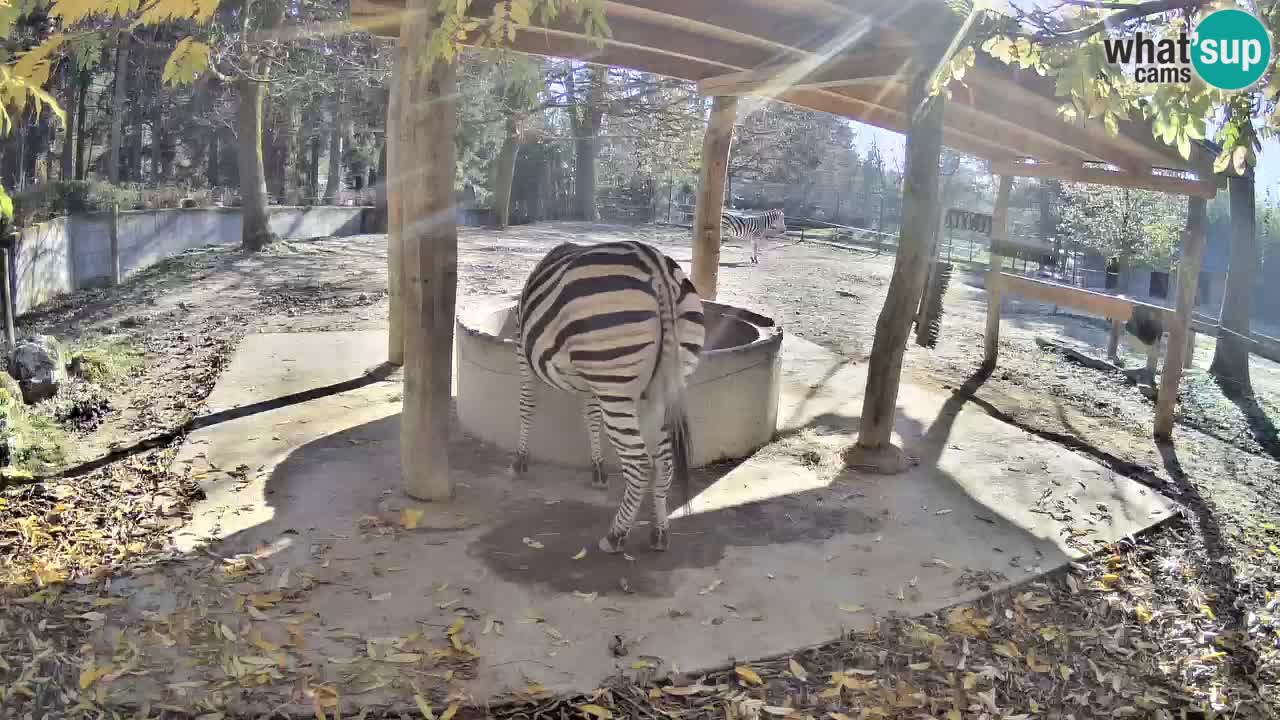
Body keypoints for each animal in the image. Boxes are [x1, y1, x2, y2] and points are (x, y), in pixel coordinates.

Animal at [510, 240, 705, 554]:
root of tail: (655, 265)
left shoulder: (521, 350)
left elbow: (527, 404)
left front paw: (520, 460)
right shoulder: (592, 383)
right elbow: (590, 416)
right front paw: (598, 468)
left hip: (615, 386)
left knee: (639, 464)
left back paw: (616, 535)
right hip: (659, 386)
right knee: (663, 462)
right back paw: (659, 532)